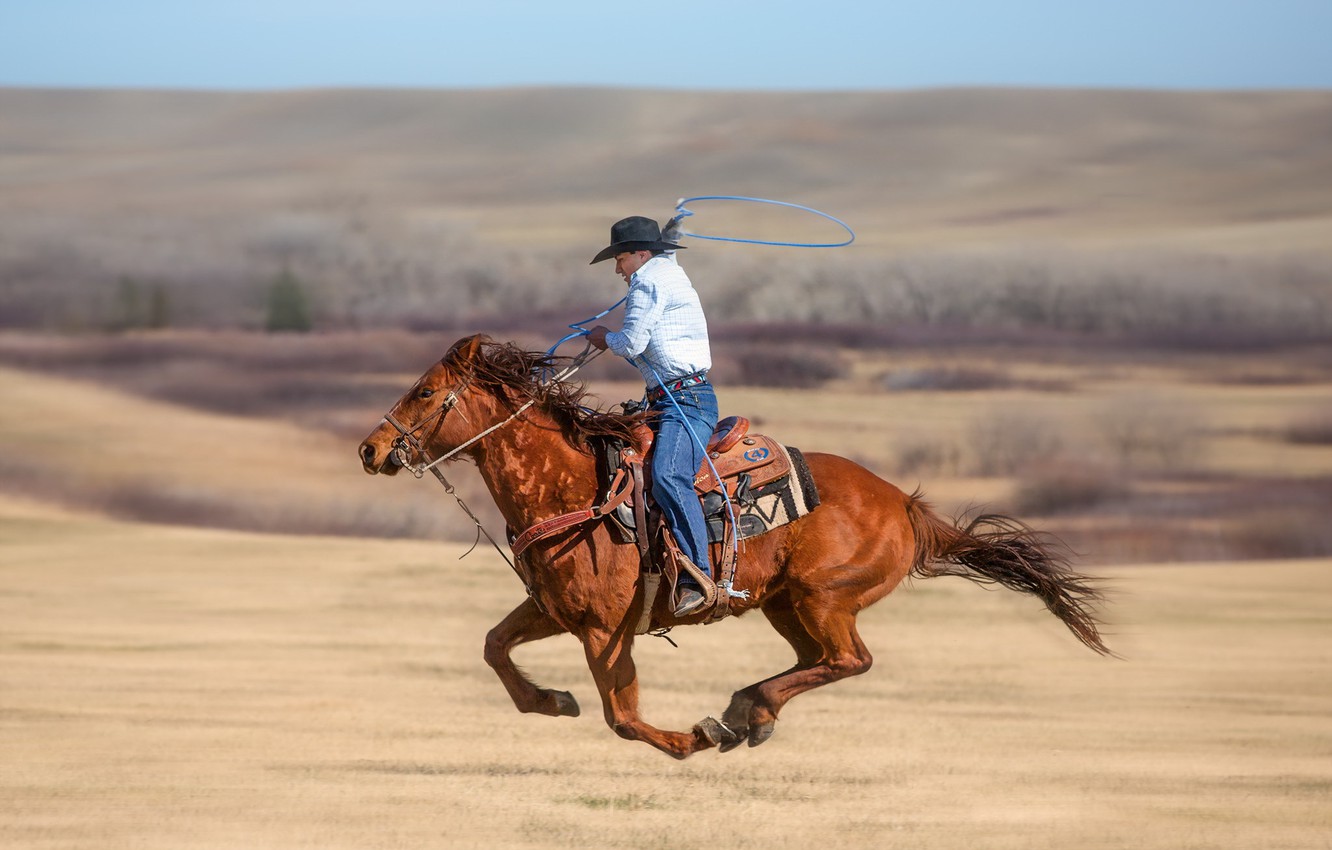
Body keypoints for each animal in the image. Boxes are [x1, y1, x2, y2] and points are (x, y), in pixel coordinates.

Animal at [351, 335, 1102, 762]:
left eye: (425, 392)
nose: (371, 450)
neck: (570, 488)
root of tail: (905, 506)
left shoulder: (603, 629)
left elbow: (622, 716)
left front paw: (691, 739)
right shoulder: (554, 611)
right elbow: (494, 646)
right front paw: (551, 701)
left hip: (824, 596)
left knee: (850, 660)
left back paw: (742, 713)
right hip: (783, 604)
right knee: (816, 661)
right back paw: (752, 711)